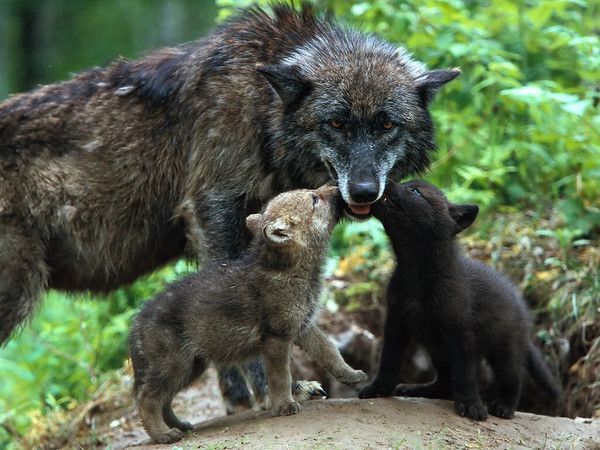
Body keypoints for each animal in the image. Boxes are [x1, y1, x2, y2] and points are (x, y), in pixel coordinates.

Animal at [0, 3, 460, 410]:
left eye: (386, 124)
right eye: (336, 123)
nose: (364, 191)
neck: (261, 108)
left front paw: (238, 393)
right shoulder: (214, 210)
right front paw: (270, 390)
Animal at [129, 185, 368, 442]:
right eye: (314, 199)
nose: (337, 188)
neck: (291, 271)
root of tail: (136, 323)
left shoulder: (304, 327)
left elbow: (330, 352)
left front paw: (351, 374)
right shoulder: (276, 338)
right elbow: (280, 376)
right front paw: (284, 406)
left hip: (191, 366)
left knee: (163, 400)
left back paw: (179, 426)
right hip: (174, 364)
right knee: (147, 399)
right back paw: (163, 435)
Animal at [358, 181, 560, 420]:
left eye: (415, 191)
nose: (384, 181)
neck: (417, 272)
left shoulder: (462, 332)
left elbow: (465, 376)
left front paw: (471, 406)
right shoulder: (396, 321)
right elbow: (389, 360)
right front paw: (378, 388)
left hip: (505, 349)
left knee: (513, 379)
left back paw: (504, 407)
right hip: (438, 349)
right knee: (444, 382)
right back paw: (416, 389)